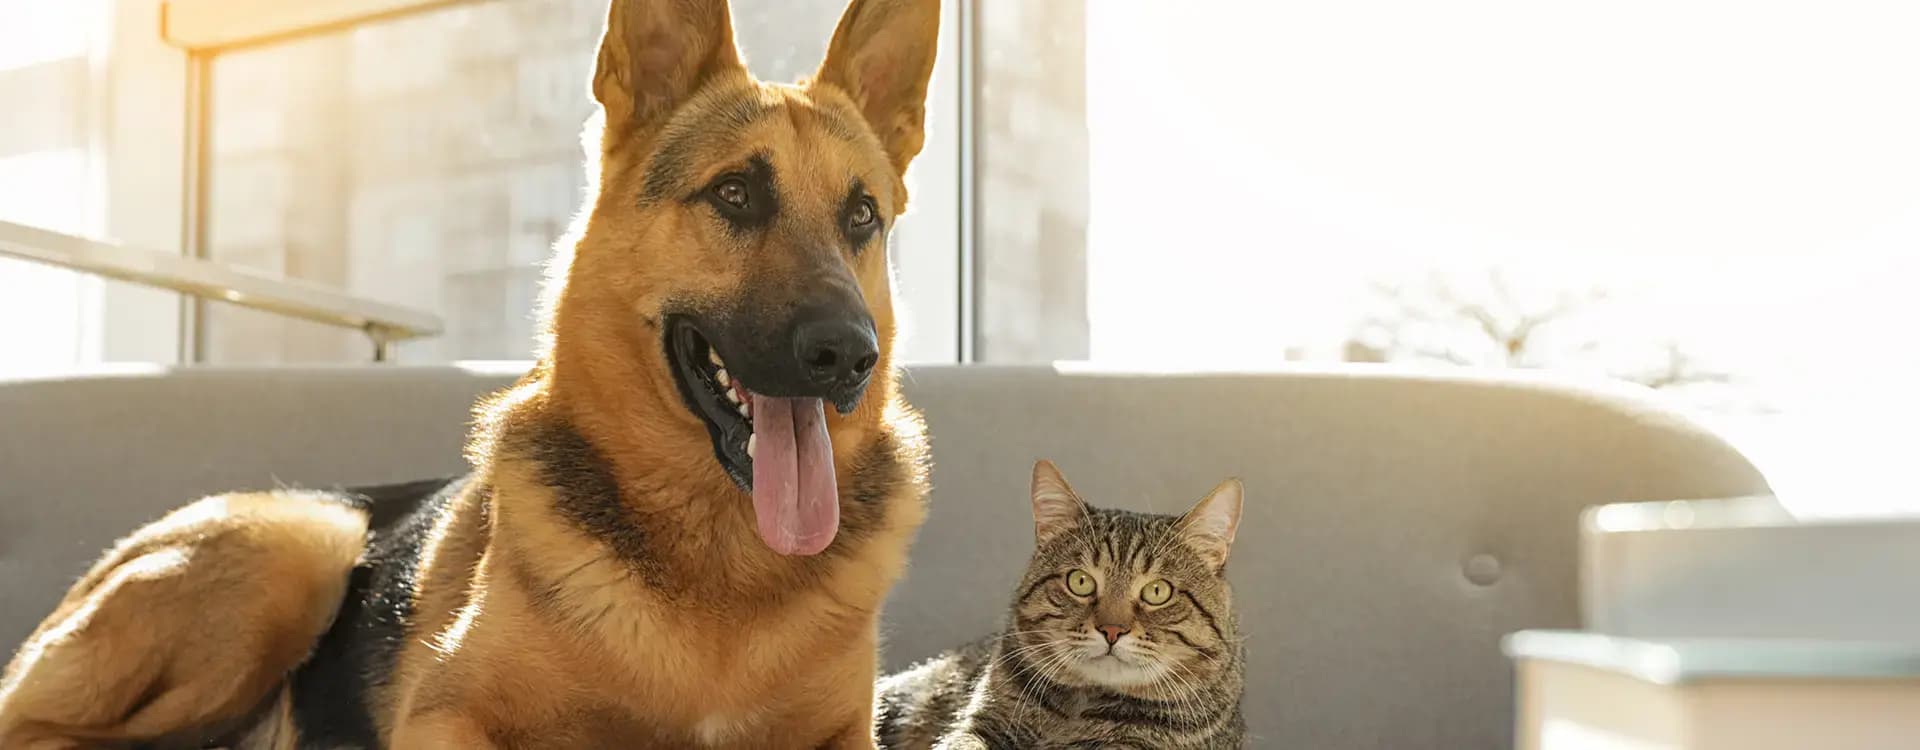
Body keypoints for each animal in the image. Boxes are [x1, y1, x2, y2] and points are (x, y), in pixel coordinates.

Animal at [0, 1, 944, 744]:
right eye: (736, 194)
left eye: (862, 215)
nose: (849, 355)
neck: (719, 562)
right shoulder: (447, 715)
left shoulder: (842, 735)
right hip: (304, 544)